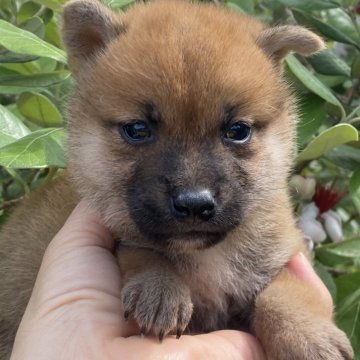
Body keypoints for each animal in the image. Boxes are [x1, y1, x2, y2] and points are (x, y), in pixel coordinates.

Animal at [0, 0, 354, 358]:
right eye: (137, 129)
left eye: (238, 131)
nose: (194, 204)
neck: (206, 258)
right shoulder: (124, 238)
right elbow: (141, 251)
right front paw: (159, 289)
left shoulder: (283, 259)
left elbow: (282, 295)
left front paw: (306, 336)